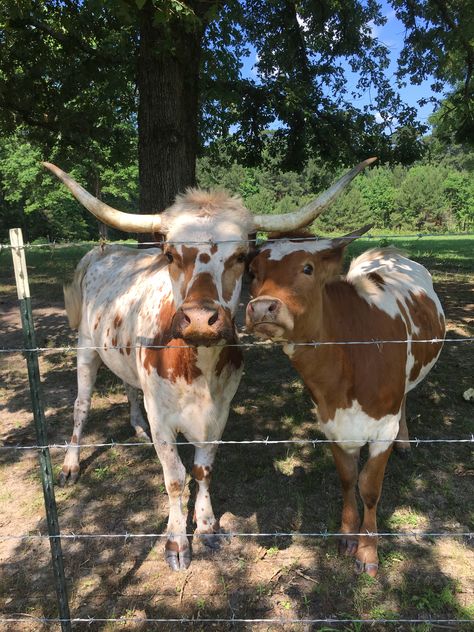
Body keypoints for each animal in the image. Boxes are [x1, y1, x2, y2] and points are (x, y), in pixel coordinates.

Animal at [44, 157, 378, 568]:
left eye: (241, 257)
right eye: (171, 255)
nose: (201, 319)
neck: (197, 370)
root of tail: (103, 251)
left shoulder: (220, 411)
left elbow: (203, 469)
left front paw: (205, 527)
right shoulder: (162, 417)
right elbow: (174, 476)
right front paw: (176, 542)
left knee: (128, 384)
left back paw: (135, 429)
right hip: (86, 346)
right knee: (81, 405)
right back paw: (71, 465)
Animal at [246, 230, 446, 576]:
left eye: (308, 268)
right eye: (254, 272)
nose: (261, 308)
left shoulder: (383, 427)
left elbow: (369, 487)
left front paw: (367, 551)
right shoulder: (331, 423)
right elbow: (347, 478)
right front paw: (348, 536)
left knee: (405, 398)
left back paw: (405, 442)